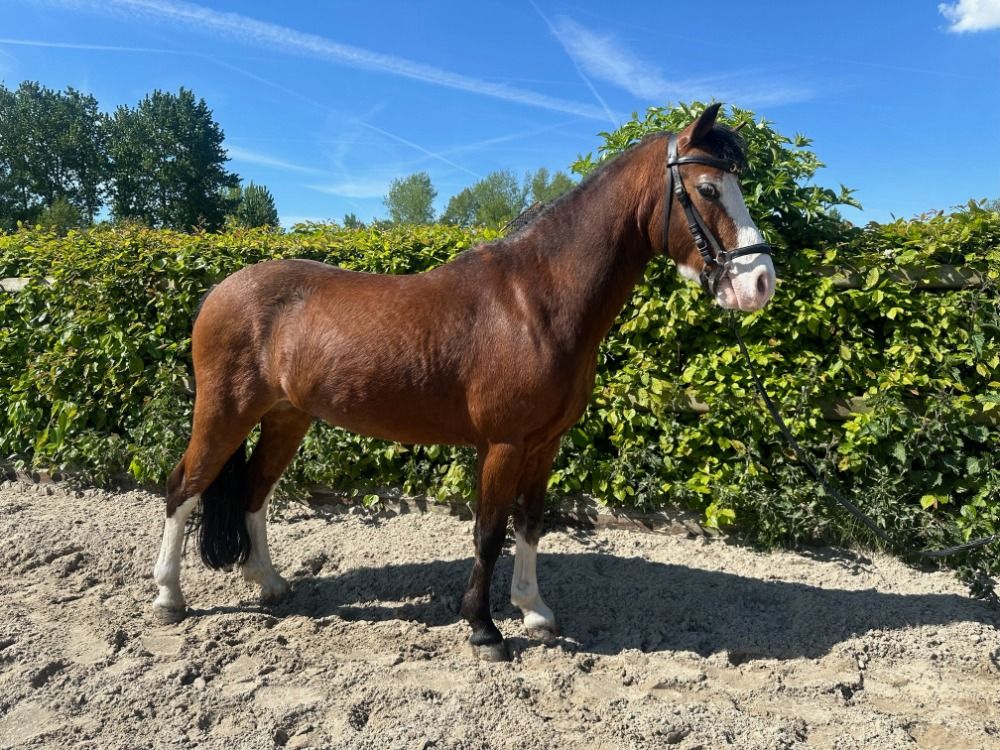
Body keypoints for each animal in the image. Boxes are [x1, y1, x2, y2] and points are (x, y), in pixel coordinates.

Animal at [152, 103, 776, 661]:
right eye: (708, 189)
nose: (760, 283)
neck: (536, 301)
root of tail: (220, 290)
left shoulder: (544, 444)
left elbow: (530, 522)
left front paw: (534, 611)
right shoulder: (502, 444)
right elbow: (489, 531)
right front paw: (484, 629)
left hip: (287, 417)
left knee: (254, 490)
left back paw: (271, 585)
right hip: (226, 412)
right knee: (183, 487)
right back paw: (168, 599)